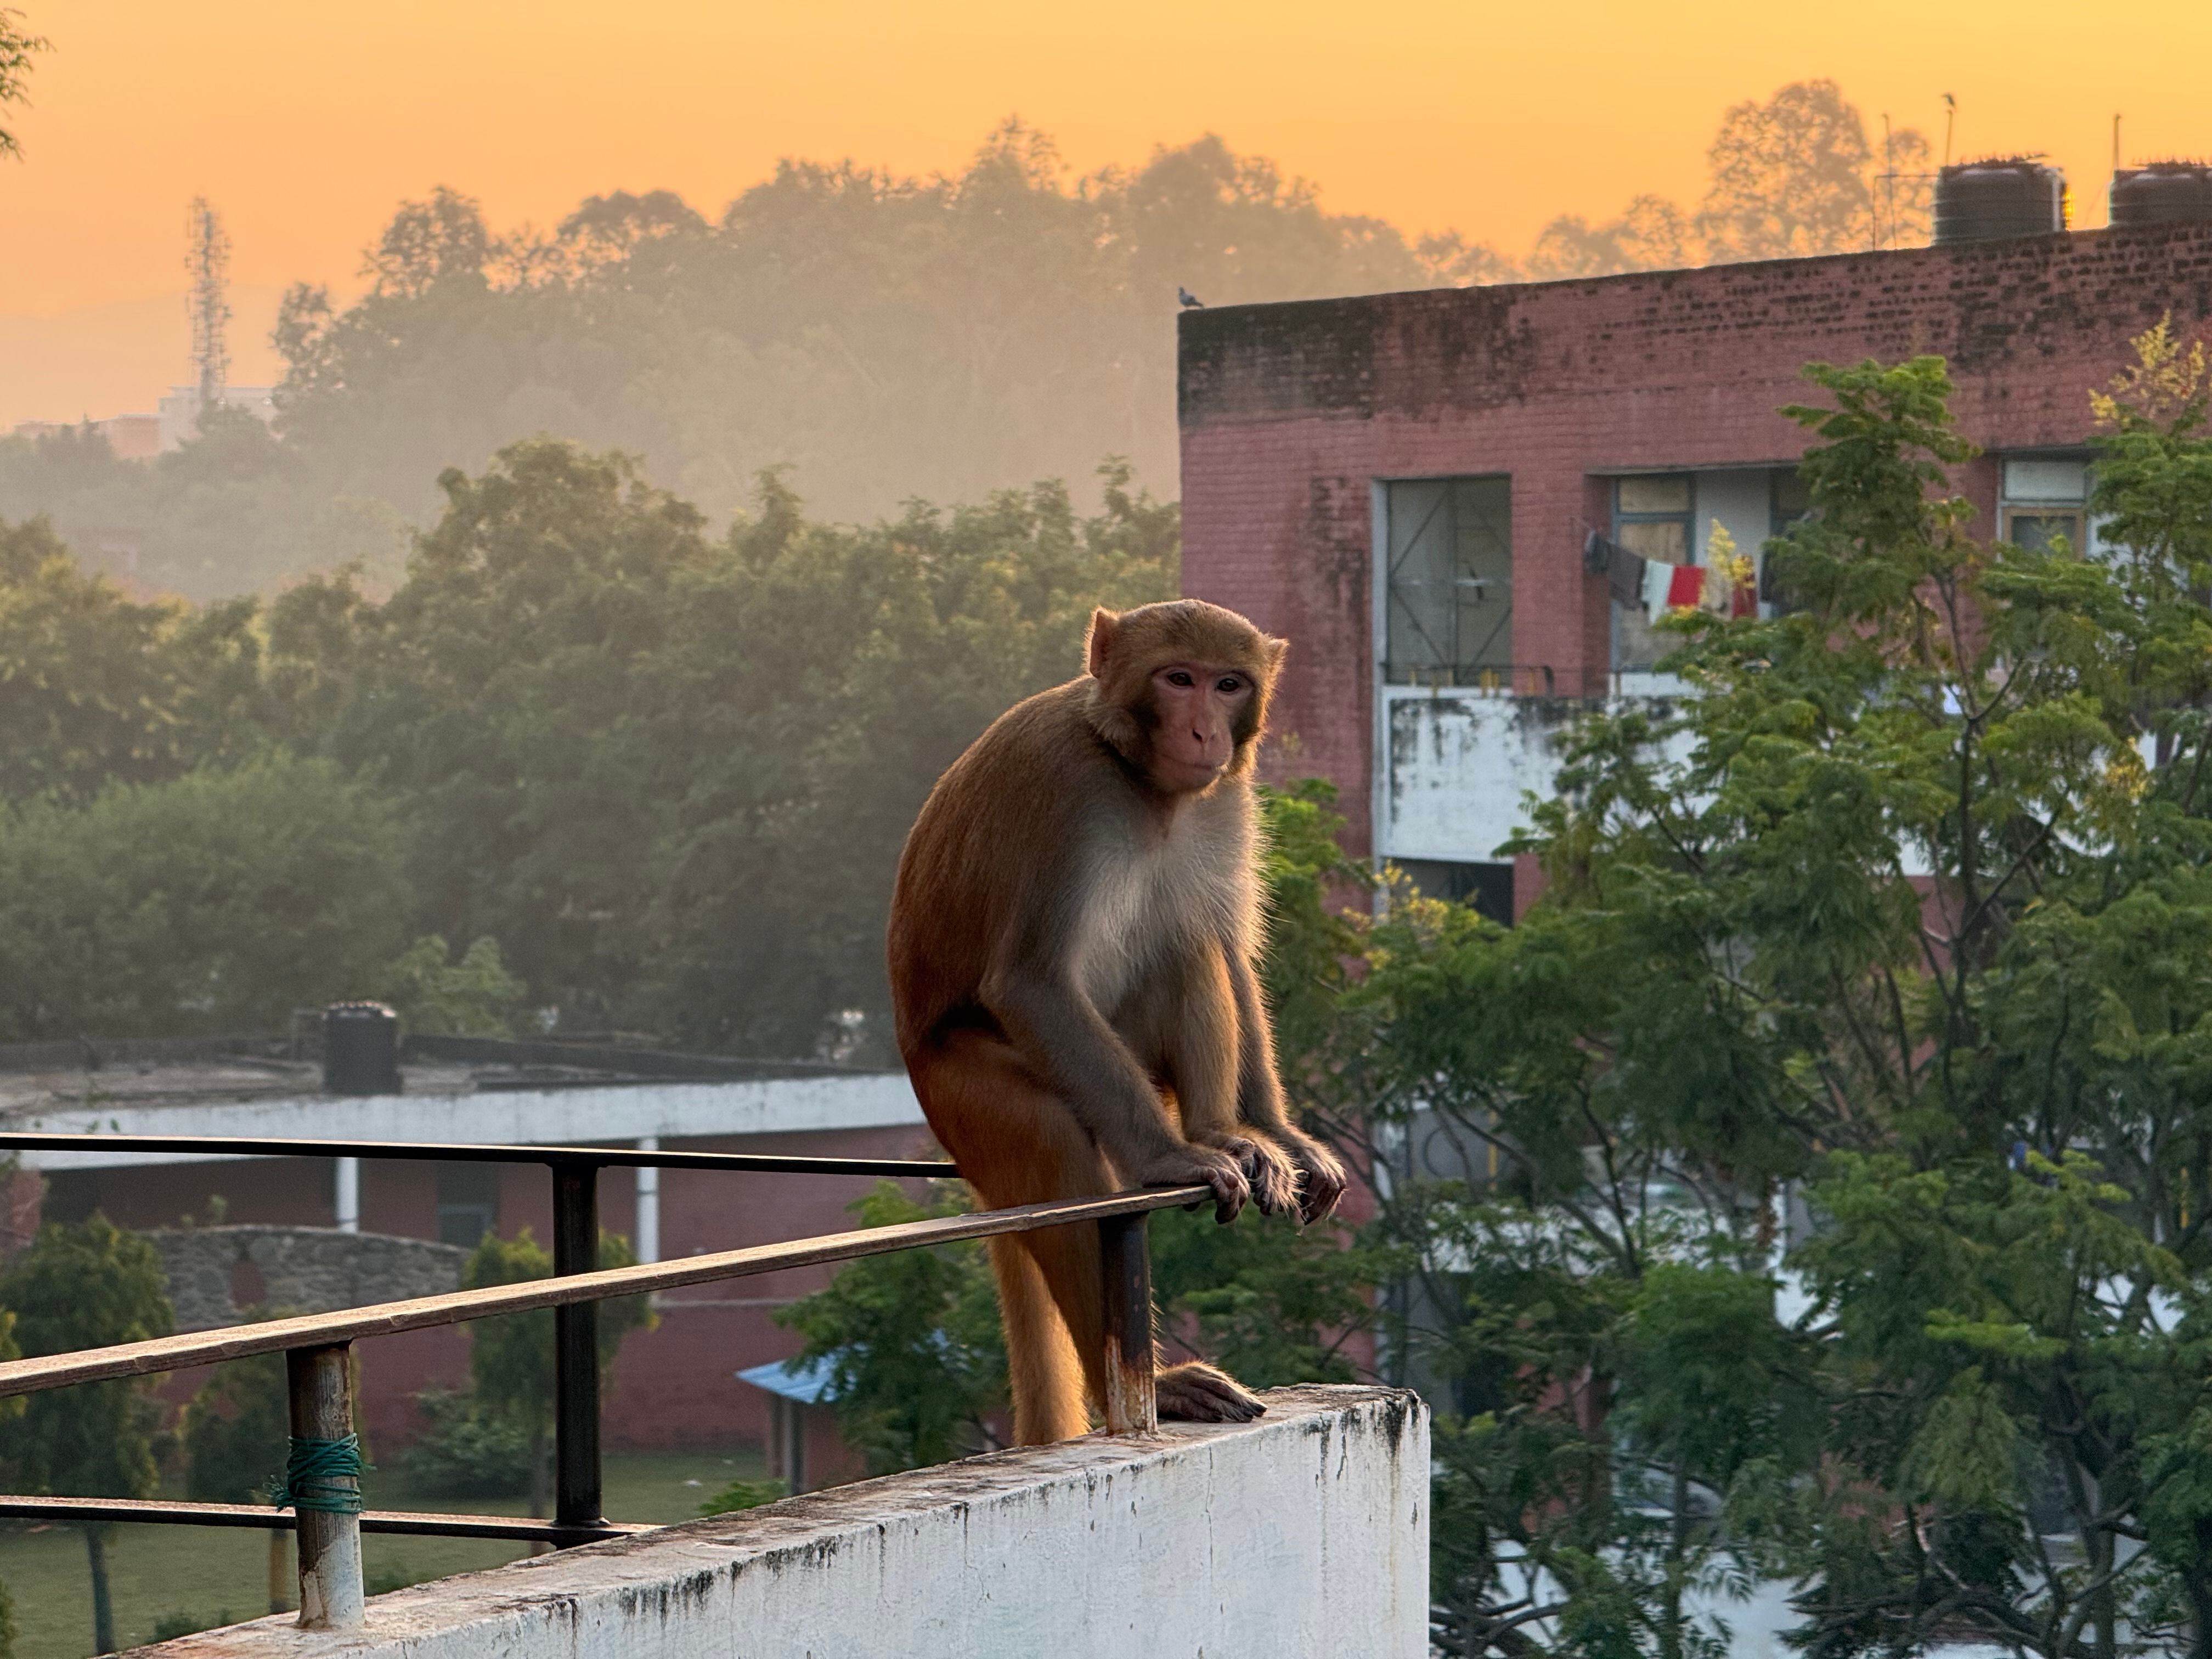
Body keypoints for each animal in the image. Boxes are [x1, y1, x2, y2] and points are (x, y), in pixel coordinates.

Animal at [887, 597, 1347, 1446]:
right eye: (1178, 678)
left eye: (1228, 684)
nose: (1202, 733)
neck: (1141, 782)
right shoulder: (1066, 793)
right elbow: (1032, 981)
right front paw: (1173, 1161)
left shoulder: (1226, 801)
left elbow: (1229, 948)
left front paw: (1279, 1132)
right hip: (971, 1091)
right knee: (1051, 1141)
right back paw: (1146, 1382)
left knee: (1188, 942)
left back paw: (1227, 1133)